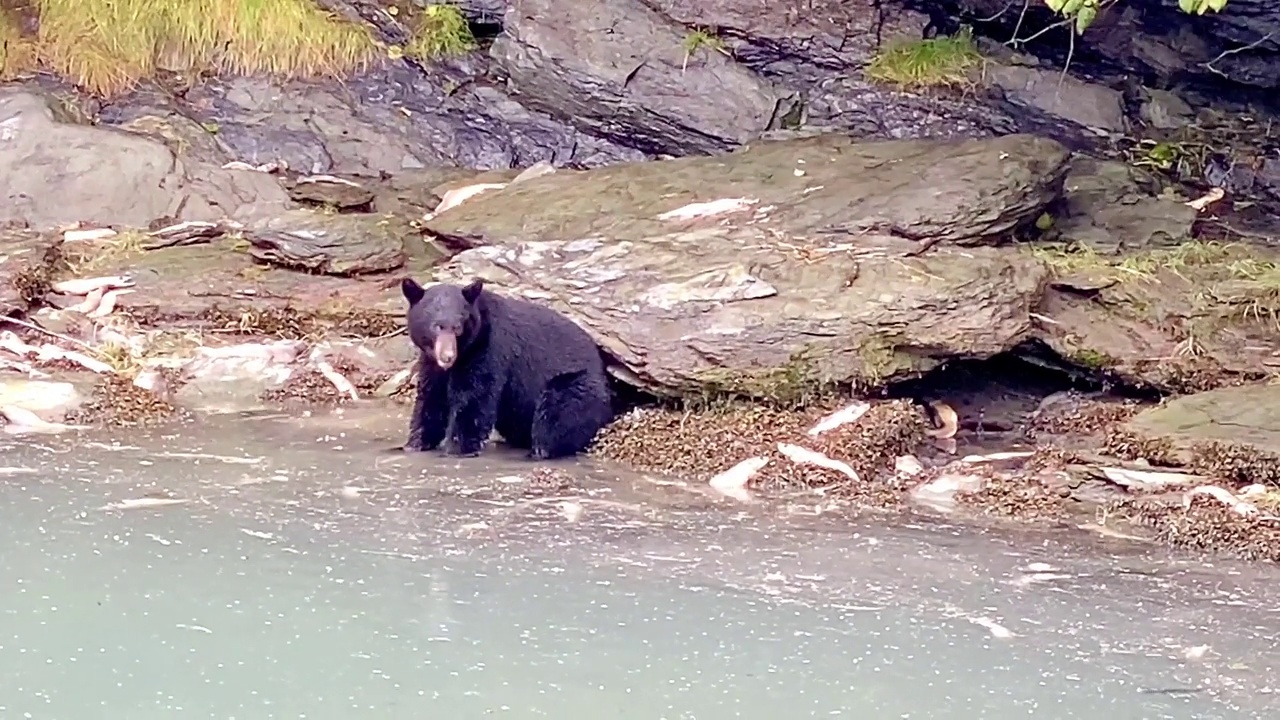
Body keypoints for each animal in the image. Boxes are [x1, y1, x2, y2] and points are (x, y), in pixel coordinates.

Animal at [401, 278, 616, 456]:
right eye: (437, 326)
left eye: (458, 327)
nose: (447, 356)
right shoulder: (432, 364)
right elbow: (431, 398)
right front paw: (414, 443)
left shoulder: (489, 349)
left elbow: (474, 397)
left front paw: (456, 448)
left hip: (576, 386)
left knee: (555, 416)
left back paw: (539, 450)